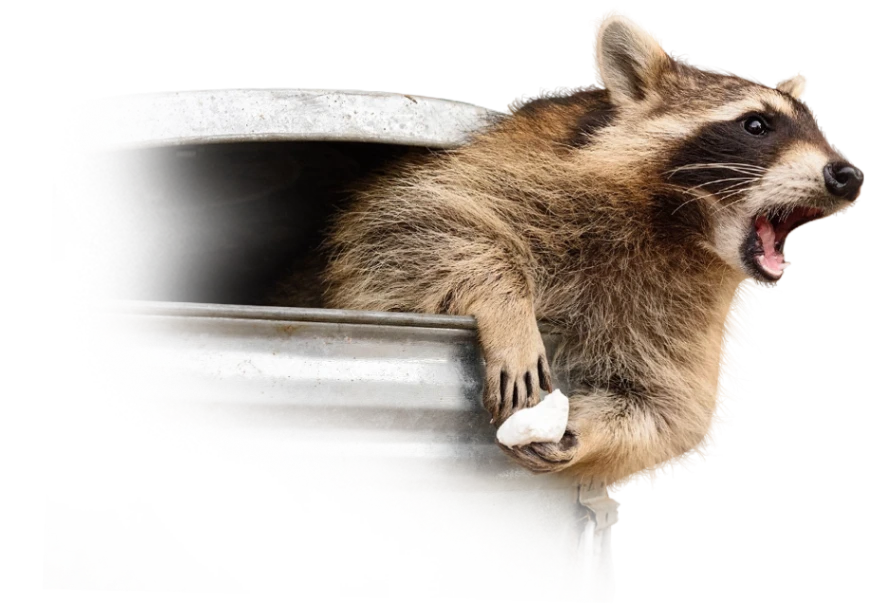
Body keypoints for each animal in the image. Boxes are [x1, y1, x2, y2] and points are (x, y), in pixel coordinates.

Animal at [312, 7, 864, 491]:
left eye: (819, 129)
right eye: (755, 125)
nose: (849, 175)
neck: (680, 229)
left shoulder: (675, 316)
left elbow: (660, 405)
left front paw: (586, 429)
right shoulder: (510, 173)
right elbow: (411, 225)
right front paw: (505, 303)